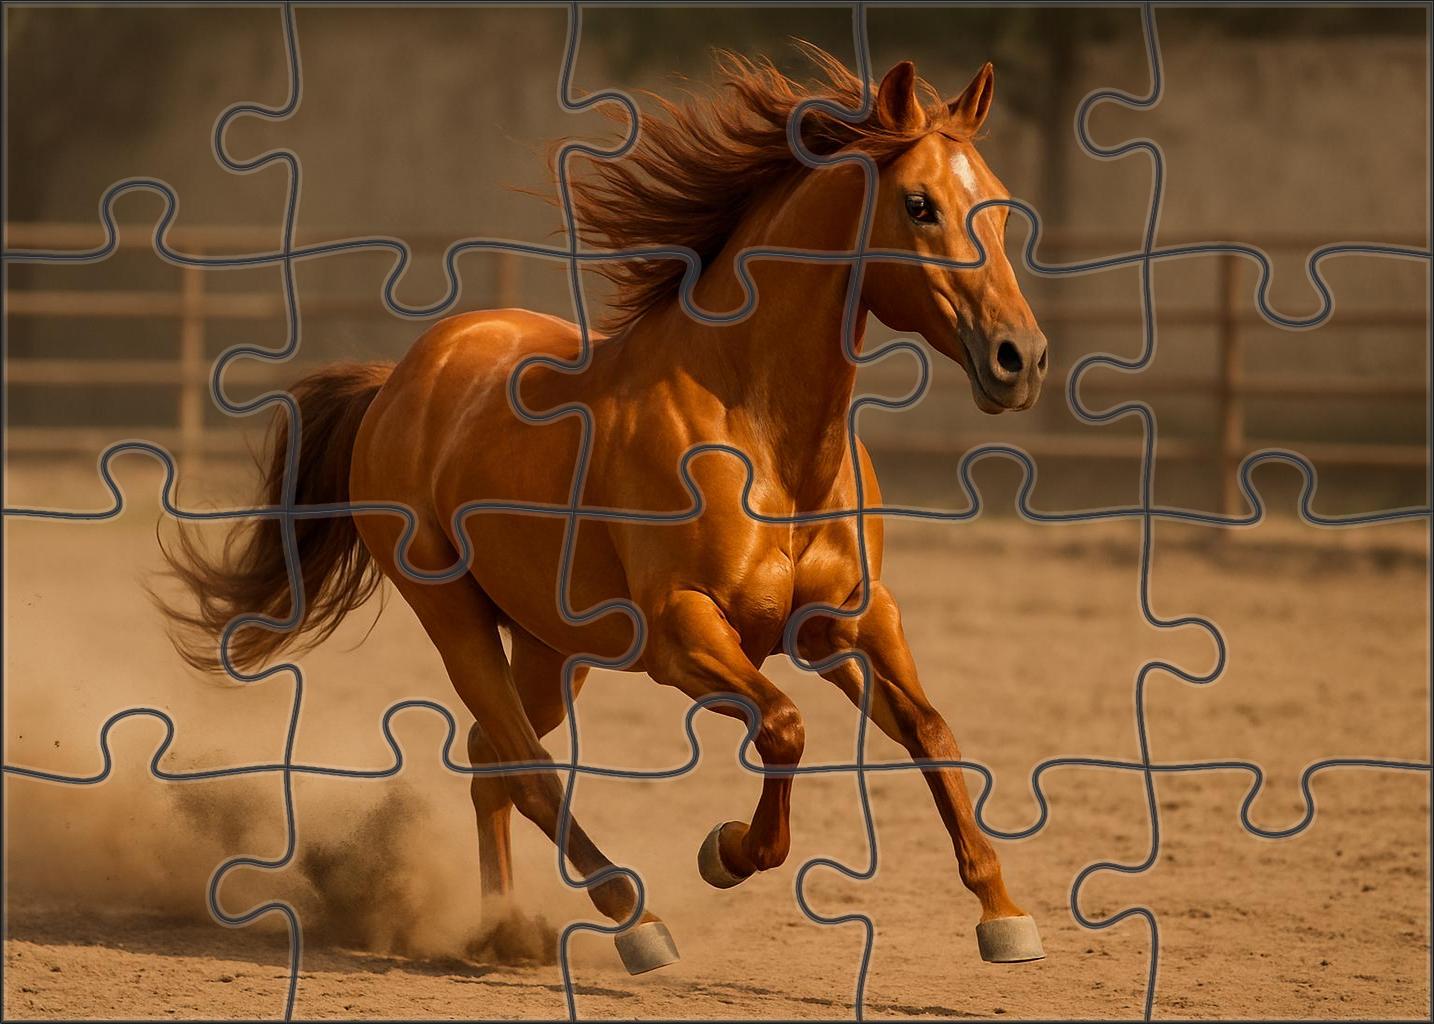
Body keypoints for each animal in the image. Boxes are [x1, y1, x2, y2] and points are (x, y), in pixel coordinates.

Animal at [160, 46, 1050, 975]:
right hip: (455, 618)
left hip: (554, 647)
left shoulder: (852, 622)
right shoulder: (682, 634)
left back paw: (505, 928)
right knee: (524, 765)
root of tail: (399, 381)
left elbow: (932, 733)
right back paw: (632, 920)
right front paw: (726, 851)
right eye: (919, 204)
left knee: (492, 755)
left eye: (998, 203)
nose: (1020, 357)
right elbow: (784, 726)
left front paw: (1004, 915)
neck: (762, 439)